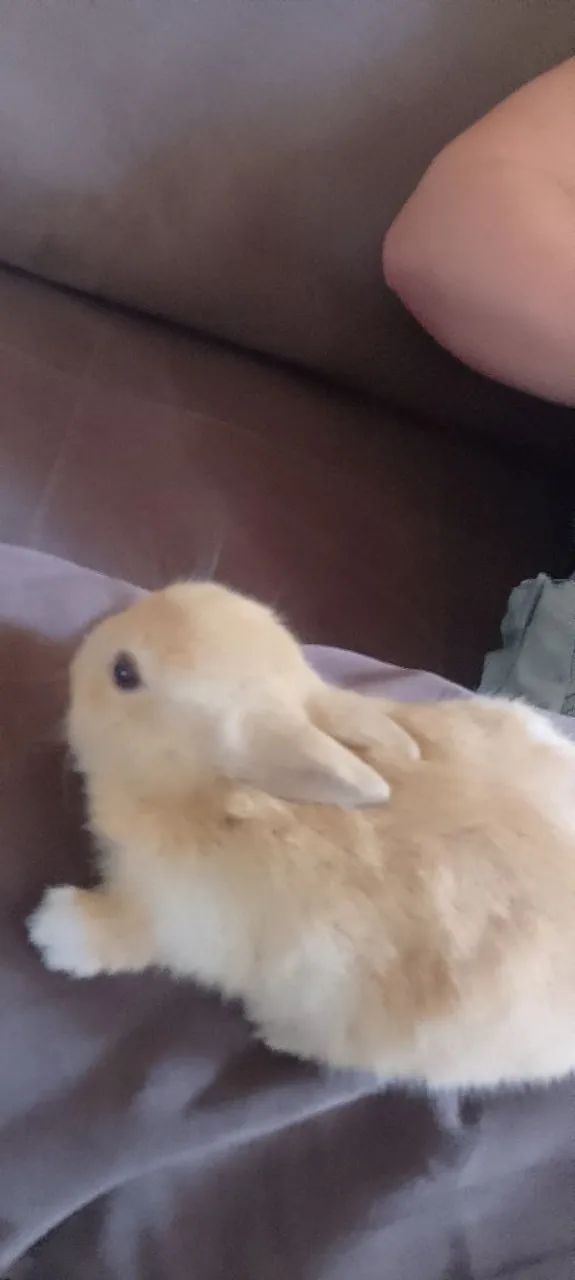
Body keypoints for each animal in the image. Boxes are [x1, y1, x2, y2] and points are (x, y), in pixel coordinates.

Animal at [28, 581, 575, 1090]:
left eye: (124, 673)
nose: (84, 646)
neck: (199, 791)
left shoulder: (179, 918)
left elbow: (128, 936)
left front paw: (54, 928)